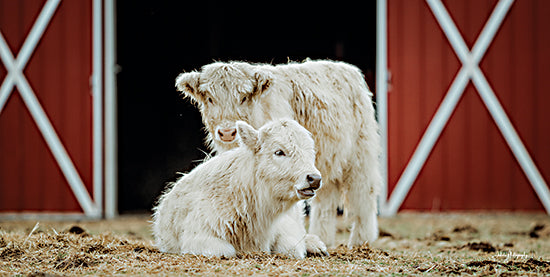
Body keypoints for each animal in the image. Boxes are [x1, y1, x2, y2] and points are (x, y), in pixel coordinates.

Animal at [153, 118, 328, 256]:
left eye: (311, 152)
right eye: (279, 152)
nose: (315, 178)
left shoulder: (286, 226)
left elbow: (292, 248)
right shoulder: (197, 236)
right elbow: (226, 251)